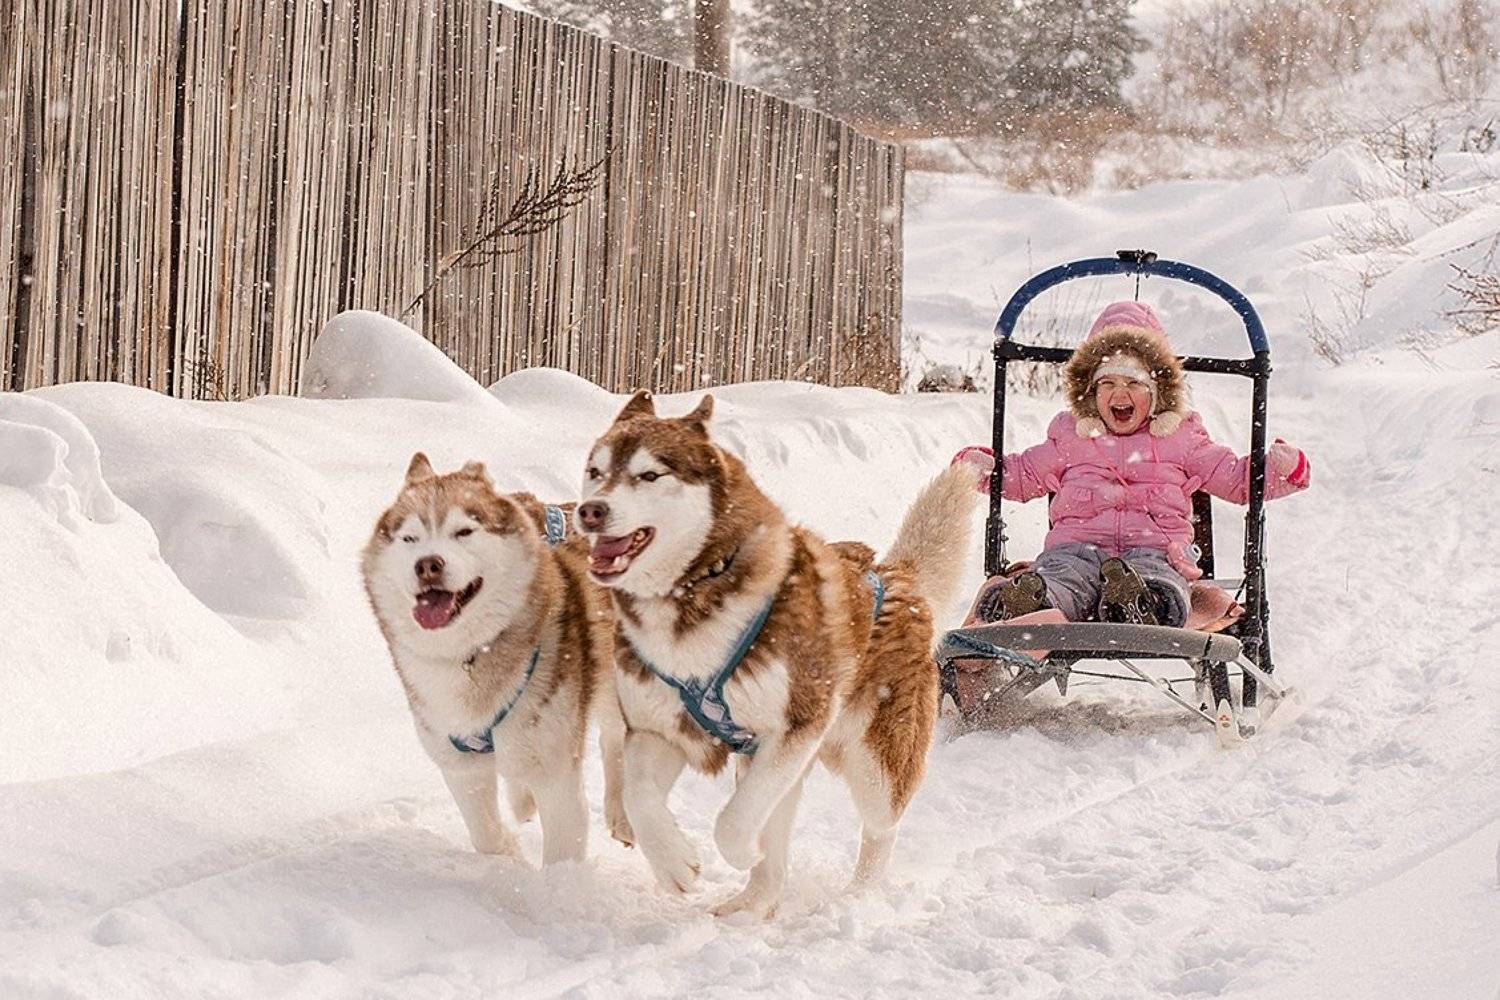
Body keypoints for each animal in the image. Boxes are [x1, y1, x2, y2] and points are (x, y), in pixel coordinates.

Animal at [362, 453, 630, 864]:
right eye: (410, 538)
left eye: (464, 532)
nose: (427, 564)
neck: (470, 654)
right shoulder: (458, 762)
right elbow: (485, 835)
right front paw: (508, 857)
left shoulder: (556, 774)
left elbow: (562, 853)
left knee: (616, 738)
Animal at [575, 391, 979, 917]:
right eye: (595, 471)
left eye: (649, 475)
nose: (590, 511)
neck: (696, 591)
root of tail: (896, 575)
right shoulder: (660, 730)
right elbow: (638, 797)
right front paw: (674, 862)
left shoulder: (795, 726)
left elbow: (732, 824)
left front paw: (742, 850)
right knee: (777, 852)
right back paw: (749, 906)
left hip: (870, 763)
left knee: (880, 828)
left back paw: (860, 897)